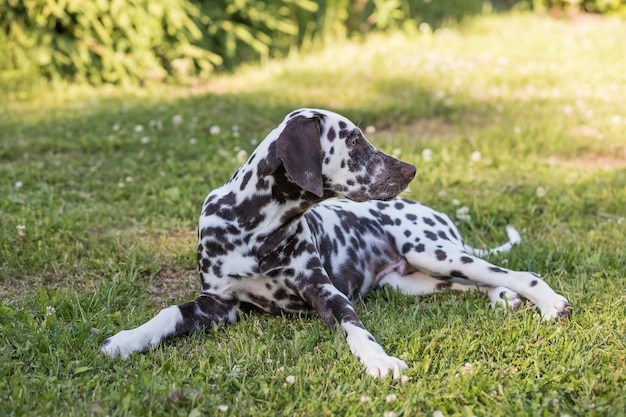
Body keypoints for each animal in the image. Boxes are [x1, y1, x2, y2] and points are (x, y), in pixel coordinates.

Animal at [101, 107, 572, 376]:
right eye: (355, 140)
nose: (412, 169)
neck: (257, 230)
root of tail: (438, 216)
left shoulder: (325, 292)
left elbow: (356, 330)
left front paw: (380, 361)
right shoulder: (217, 303)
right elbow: (167, 314)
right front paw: (125, 340)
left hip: (431, 251)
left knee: (516, 273)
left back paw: (548, 303)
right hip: (414, 280)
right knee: (480, 282)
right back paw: (502, 298)